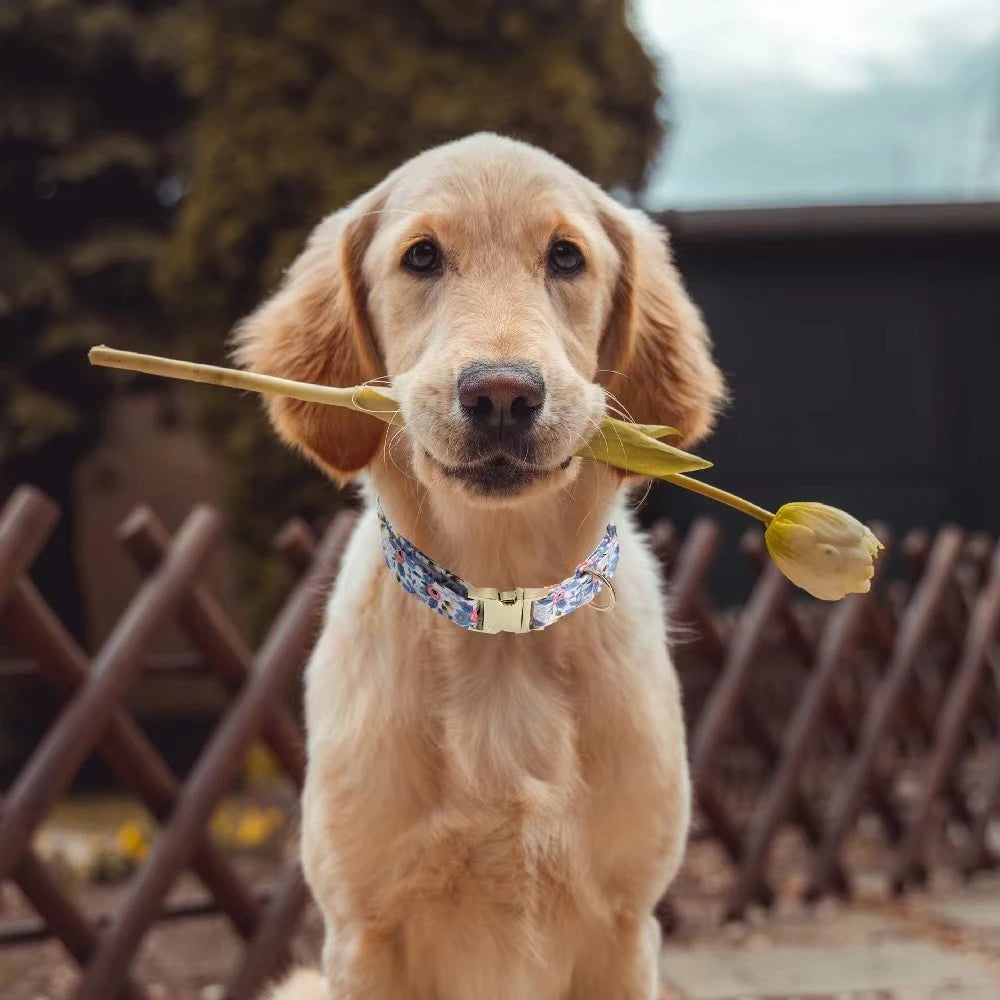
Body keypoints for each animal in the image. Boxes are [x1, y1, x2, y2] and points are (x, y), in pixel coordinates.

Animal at [240, 135, 728, 1000]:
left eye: (566, 256)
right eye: (422, 257)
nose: (502, 394)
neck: (502, 608)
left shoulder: (625, 925)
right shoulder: (363, 931)